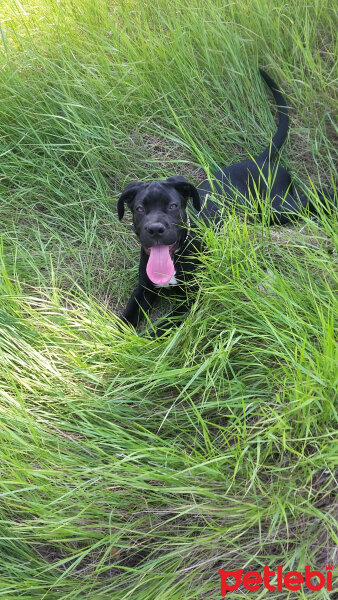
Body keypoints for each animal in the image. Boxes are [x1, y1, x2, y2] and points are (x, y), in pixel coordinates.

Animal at [118, 70, 330, 336]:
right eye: (139, 209)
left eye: (173, 206)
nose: (155, 229)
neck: (177, 255)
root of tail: (260, 159)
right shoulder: (144, 288)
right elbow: (126, 317)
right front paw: (116, 340)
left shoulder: (192, 298)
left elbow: (162, 329)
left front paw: (145, 342)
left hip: (277, 207)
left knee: (318, 194)